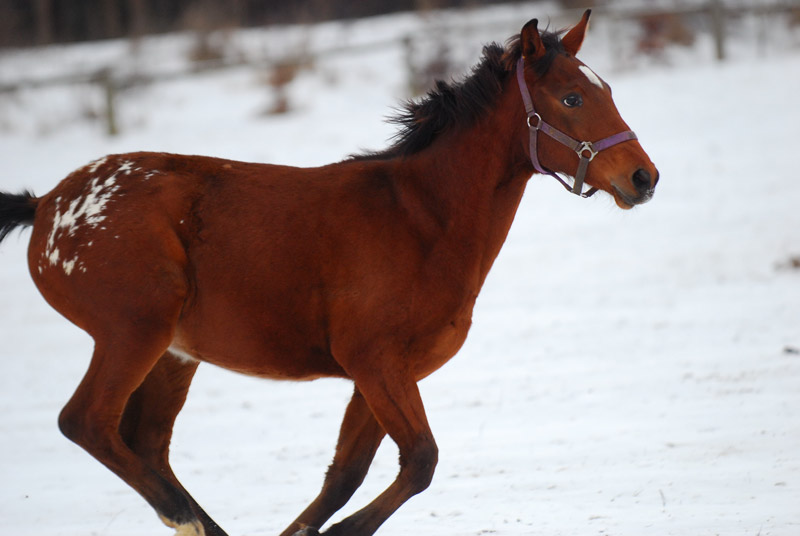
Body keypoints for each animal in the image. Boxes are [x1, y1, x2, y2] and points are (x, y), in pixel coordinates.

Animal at [0, 11, 656, 536]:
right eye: (571, 99)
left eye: (606, 90)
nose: (643, 177)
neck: (418, 218)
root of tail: (47, 205)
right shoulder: (375, 360)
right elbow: (419, 461)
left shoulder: (380, 373)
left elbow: (347, 473)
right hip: (134, 330)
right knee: (86, 422)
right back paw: (188, 518)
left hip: (174, 354)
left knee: (146, 445)